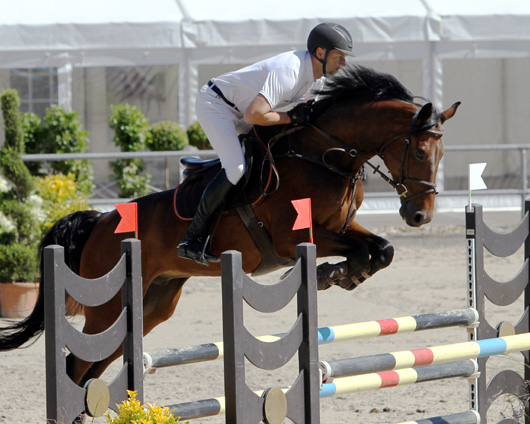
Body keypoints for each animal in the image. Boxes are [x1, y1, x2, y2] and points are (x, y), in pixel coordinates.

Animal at [0, 65, 458, 390]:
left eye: (441, 154)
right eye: (420, 152)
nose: (419, 216)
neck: (324, 156)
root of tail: (99, 221)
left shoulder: (339, 226)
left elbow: (382, 248)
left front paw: (346, 274)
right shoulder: (294, 237)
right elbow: (362, 250)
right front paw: (335, 273)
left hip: (152, 303)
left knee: (94, 365)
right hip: (108, 306)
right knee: (77, 363)